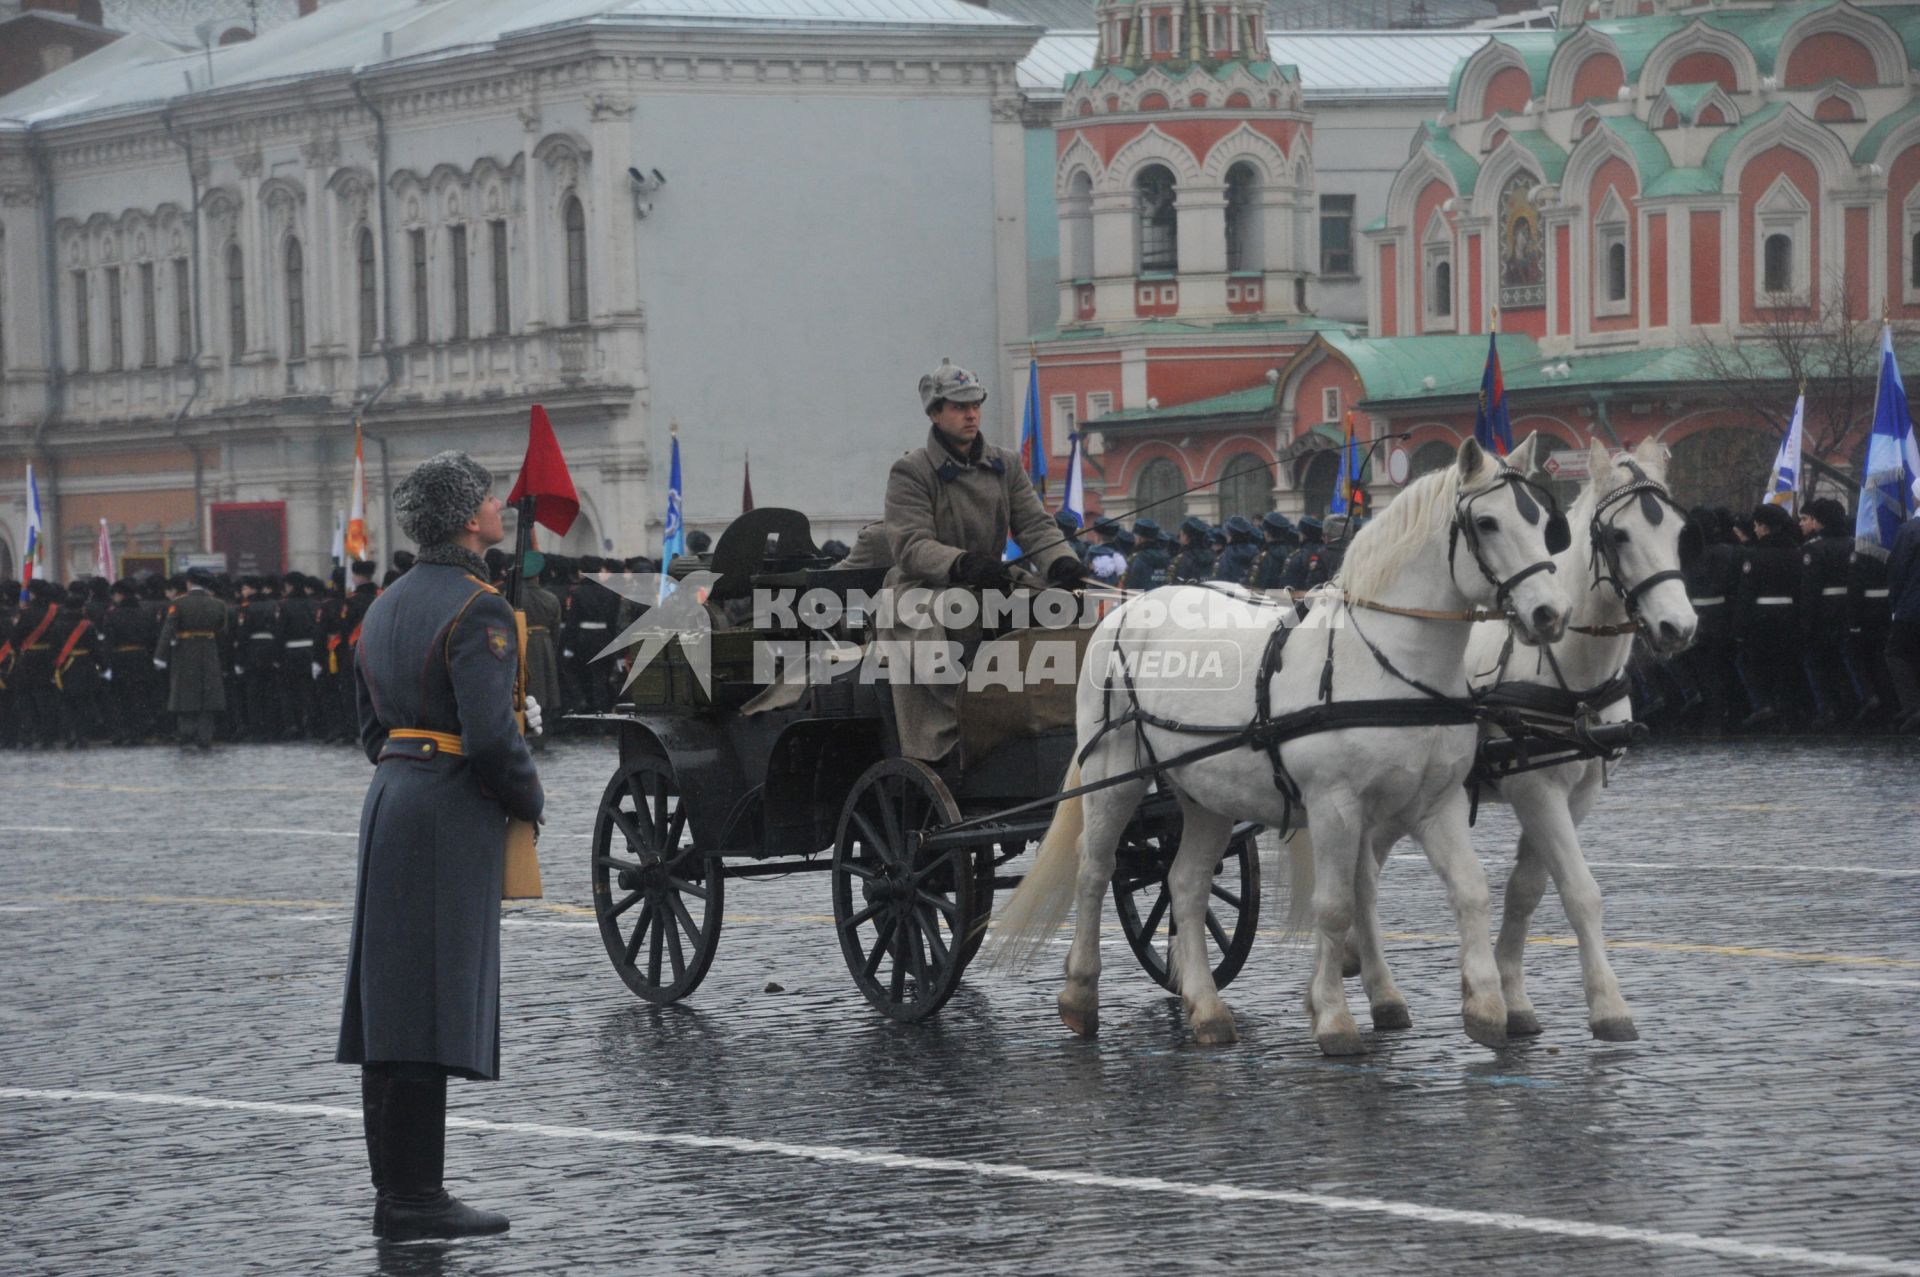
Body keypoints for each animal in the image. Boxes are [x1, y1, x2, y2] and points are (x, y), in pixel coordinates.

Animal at [990, 437, 1574, 1052]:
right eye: (1487, 522)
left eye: (1544, 522)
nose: (1550, 615)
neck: (1390, 664)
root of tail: (1124, 609)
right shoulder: (1335, 806)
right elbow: (1336, 906)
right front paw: (1336, 1018)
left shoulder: (1434, 803)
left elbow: (1468, 890)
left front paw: (1486, 1008)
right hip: (1114, 773)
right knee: (1096, 869)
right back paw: (1080, 994)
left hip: (1204, 795)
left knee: (1185, 884)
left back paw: (1206, 1009)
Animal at [1344, 433, 1704, 1044]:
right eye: (1620, 535)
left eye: (1678, 532)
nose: (1678, 628)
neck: (1571, 674)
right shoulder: (1536, 791)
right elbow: (1580, 891)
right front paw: (1608, 1005)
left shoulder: (1578, 793)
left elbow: (1528, 890)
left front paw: (1512, 998)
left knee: (1367, 867)